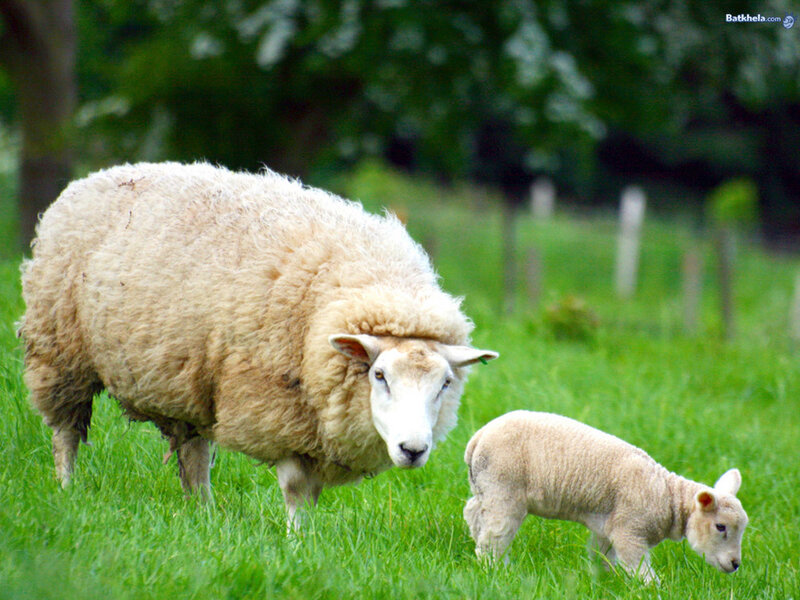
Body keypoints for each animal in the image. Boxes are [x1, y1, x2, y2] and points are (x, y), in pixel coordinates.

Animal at [19, 161, 498, 528]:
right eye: (379, 375)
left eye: (445, 384)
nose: (413, 450)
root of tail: (95, 176)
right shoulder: (277, 413)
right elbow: (297, 488)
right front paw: (297, 541)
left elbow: (311, 493)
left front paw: (308, 537)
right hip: (60, 349)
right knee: (66, 431)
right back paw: (67, 488)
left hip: (190, 380)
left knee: (193, 452)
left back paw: (203, 512)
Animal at [463, 411, 748, 582]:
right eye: (720, 526)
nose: (735, 564)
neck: (668, 498)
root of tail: (478, 438)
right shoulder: (629, 529)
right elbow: (638, 567)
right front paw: (653, 587)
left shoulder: (608, 526)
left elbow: (602, 556)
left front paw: (605, 580)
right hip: (504, 488)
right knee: (494, 536)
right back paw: (496, 568)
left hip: (485, 486)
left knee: (474, 513)